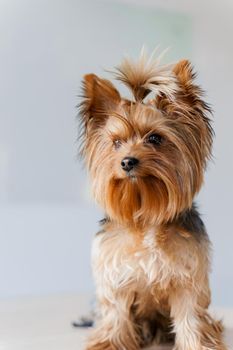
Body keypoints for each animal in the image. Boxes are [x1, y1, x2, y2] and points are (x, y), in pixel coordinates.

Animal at [78, 50, 226, 348]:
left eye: (155, 138)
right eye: (116, 143)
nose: (127, 161)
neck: (145, 212)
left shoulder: (188, 275)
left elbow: (190, 314)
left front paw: (197, 343)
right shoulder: (115, 275)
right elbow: (116, 311)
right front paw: (109, 343)